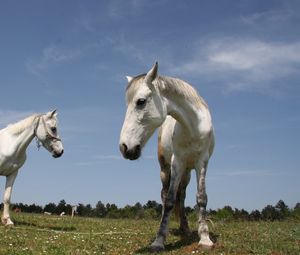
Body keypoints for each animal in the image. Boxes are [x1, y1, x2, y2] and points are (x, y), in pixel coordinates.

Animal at [120, 62, 216, 251]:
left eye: (141, 101)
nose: (125, 147)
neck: (193, 127)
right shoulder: (176, 162)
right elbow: (170, 200)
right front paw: (159, 240)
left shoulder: (202, 162)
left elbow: (201, 197)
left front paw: (205, 238)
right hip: (166, 169)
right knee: (165, 196)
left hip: (187, 172)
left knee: (182, 197)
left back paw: (185, 229)